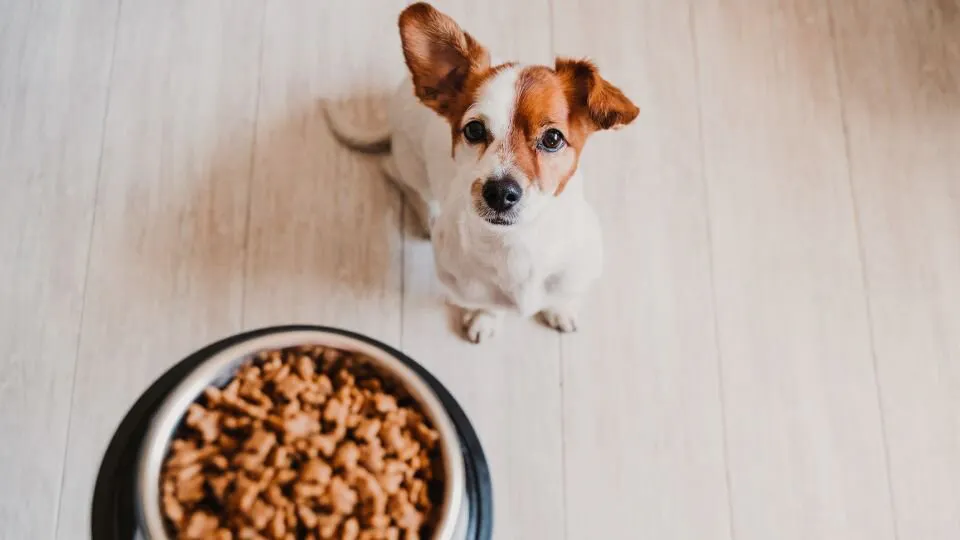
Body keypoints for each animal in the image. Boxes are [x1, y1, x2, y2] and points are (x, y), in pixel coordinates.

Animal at [326, 3, 640, 342]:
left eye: (553, 138)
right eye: (474, 130)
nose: (500, 192)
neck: (516, 243)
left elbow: (561, 296)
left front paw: (560, 310)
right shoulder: (466, 287)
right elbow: (487, 304)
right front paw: (485, 318)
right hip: (411, 166)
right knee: (398, 176)